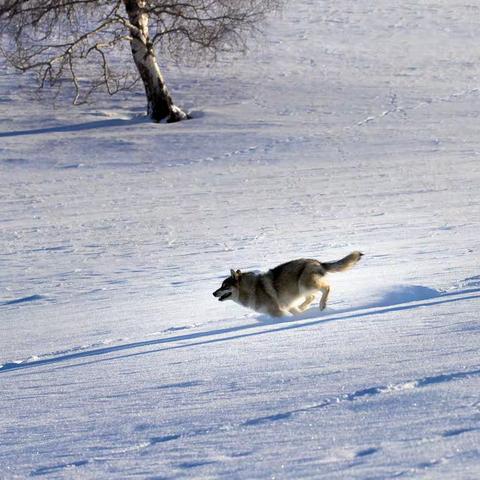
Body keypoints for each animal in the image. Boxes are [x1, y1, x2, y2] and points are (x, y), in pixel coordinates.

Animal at [212, 249, 362, 316]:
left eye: (224, 286)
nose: (213, 293)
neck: (251, 289)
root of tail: (318, 262)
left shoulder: (277, 312)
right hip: (301, 289)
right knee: (311, 297)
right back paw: (303, 308)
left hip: (305, 284)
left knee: (327, 288)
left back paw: (322, 305)